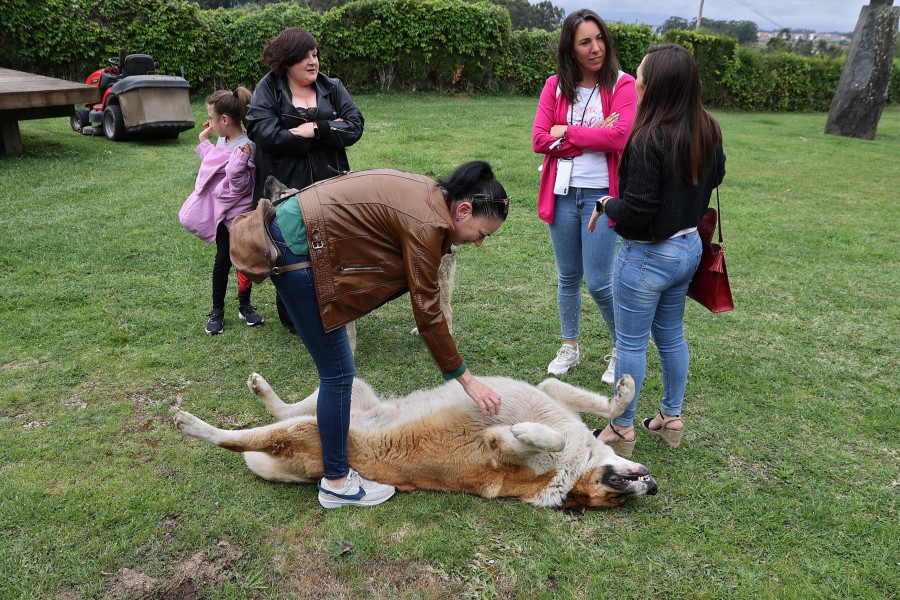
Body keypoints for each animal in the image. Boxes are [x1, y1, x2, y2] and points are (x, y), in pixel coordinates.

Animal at [174, 372, 652, 508]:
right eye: (617, 497)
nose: (654, 485)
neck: (580, 467)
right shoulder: (552, 394)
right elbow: (600, 405)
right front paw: (625, 390)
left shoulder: (500, 452)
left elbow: (536, 439)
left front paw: (525, 431)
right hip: (348, 395)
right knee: (281, 414)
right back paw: (254, 392)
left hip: (312, 427)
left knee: (242, 438)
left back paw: (193, 425)